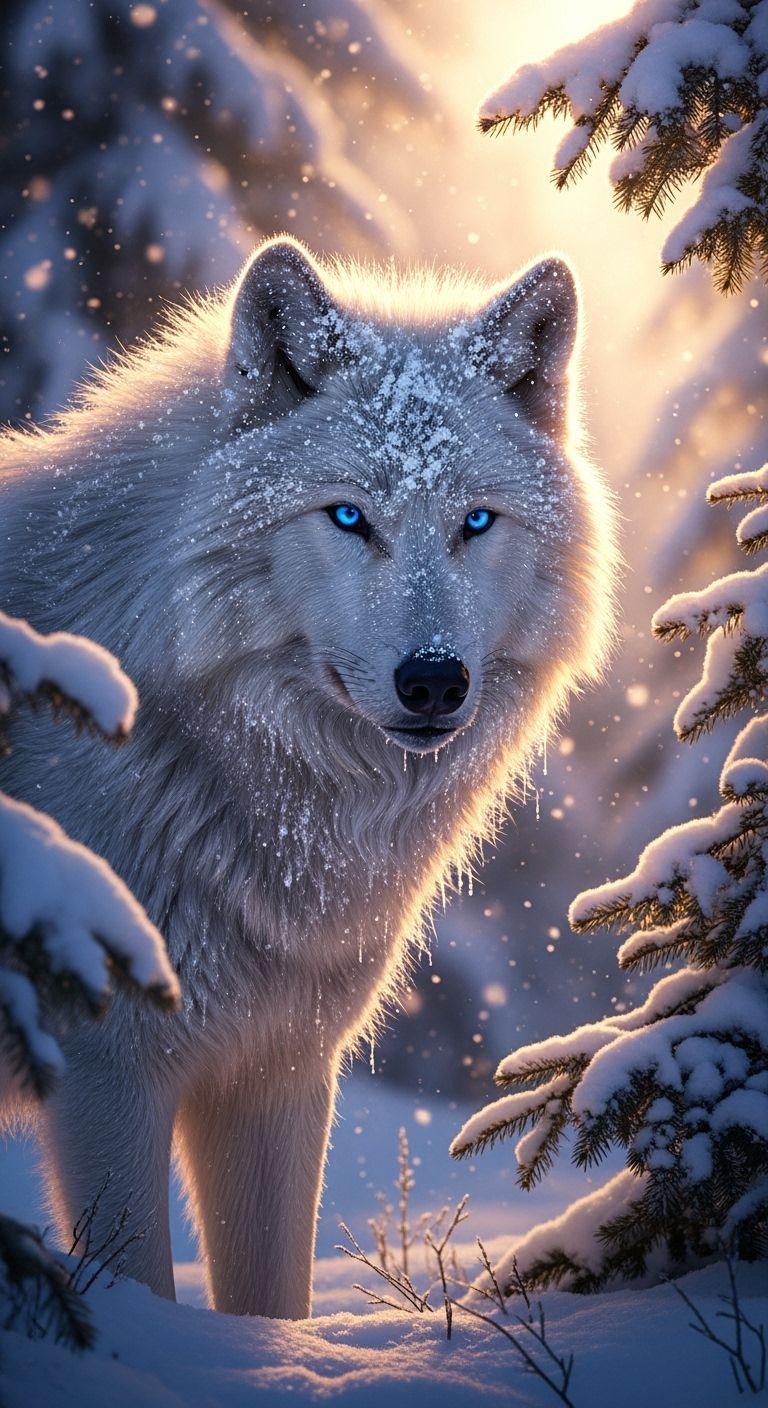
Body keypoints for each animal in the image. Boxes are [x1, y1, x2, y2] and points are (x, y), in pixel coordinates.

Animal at [0, 236, 616, 1319]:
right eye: (348, 517)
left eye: (476, 522)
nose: (433, 679)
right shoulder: (104, 1076)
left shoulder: (277, 1074)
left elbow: (271, 1302)